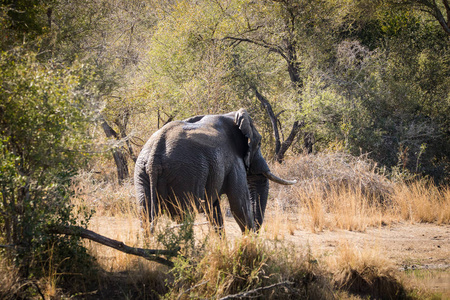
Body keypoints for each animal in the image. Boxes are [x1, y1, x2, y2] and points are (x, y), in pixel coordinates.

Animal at [134, 109, 296, 233]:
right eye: (260, 142)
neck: (231, 115)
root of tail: (155, 155)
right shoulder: (234, 161)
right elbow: (240, 205)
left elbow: (214, 211)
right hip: (184, 175)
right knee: (184, 216)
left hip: (142, 172)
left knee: (145, 215)